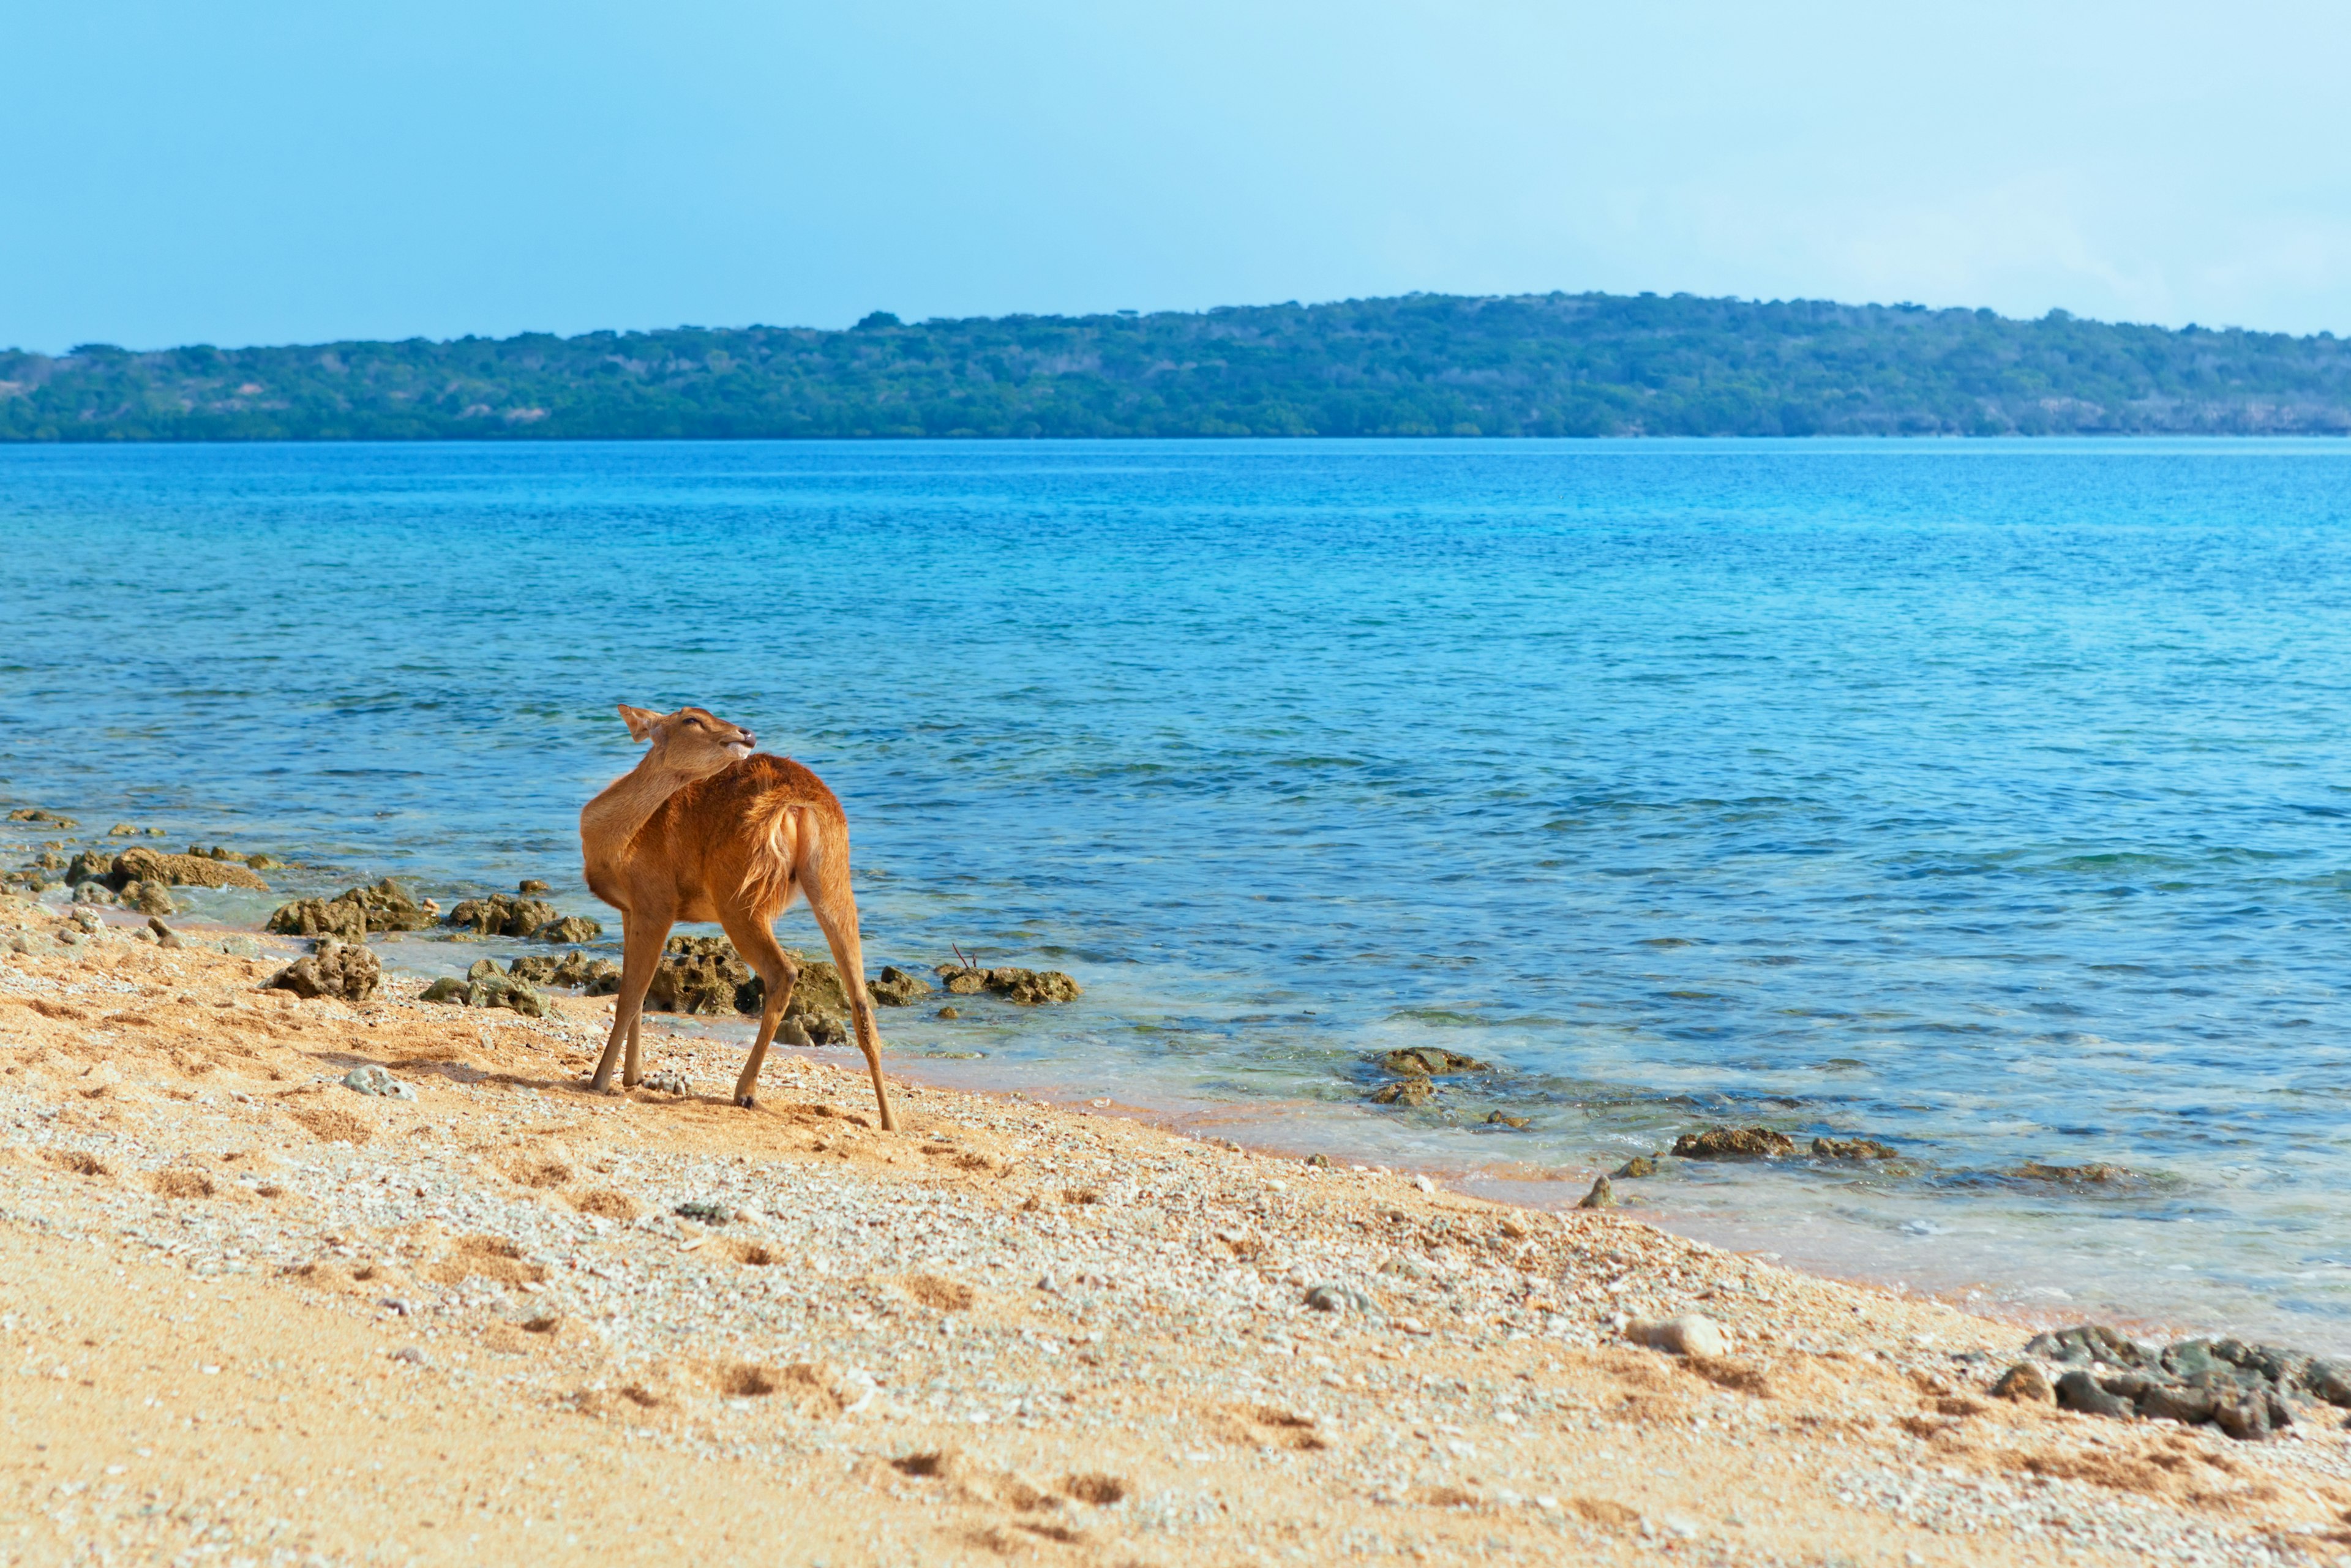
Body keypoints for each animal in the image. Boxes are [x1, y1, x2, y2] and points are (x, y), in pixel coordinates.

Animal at [573, 700, 893, 1128]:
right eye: (691, 718)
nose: (747, 733)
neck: (613, 843)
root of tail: (795, 801)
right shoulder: (631, 909)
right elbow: (638, 995)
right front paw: (634, 1076)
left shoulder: (656, 901)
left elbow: (631, 993)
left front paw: (602, 1081)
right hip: (832, 874)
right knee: (861, 1003)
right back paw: (890, 1123)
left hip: (737, 891)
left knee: (784, 971)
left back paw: (745, 1092)